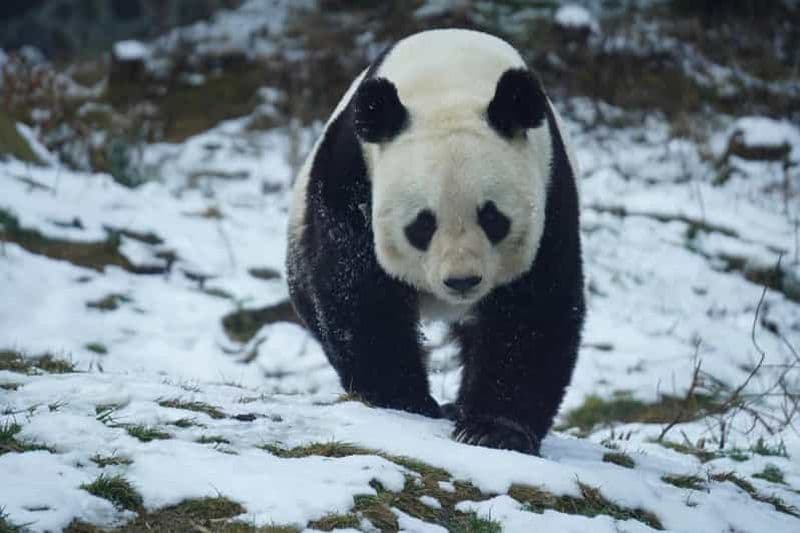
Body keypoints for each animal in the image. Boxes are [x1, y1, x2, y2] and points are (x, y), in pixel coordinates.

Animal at [286, 29, 584, 455]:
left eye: (492, 218)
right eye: (422, 225)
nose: (461, 282)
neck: (448, 81)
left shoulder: (549, 189)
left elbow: (534, 308)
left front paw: (493, 429)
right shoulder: (352, 174)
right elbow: (357, 285)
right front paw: (400, 398)